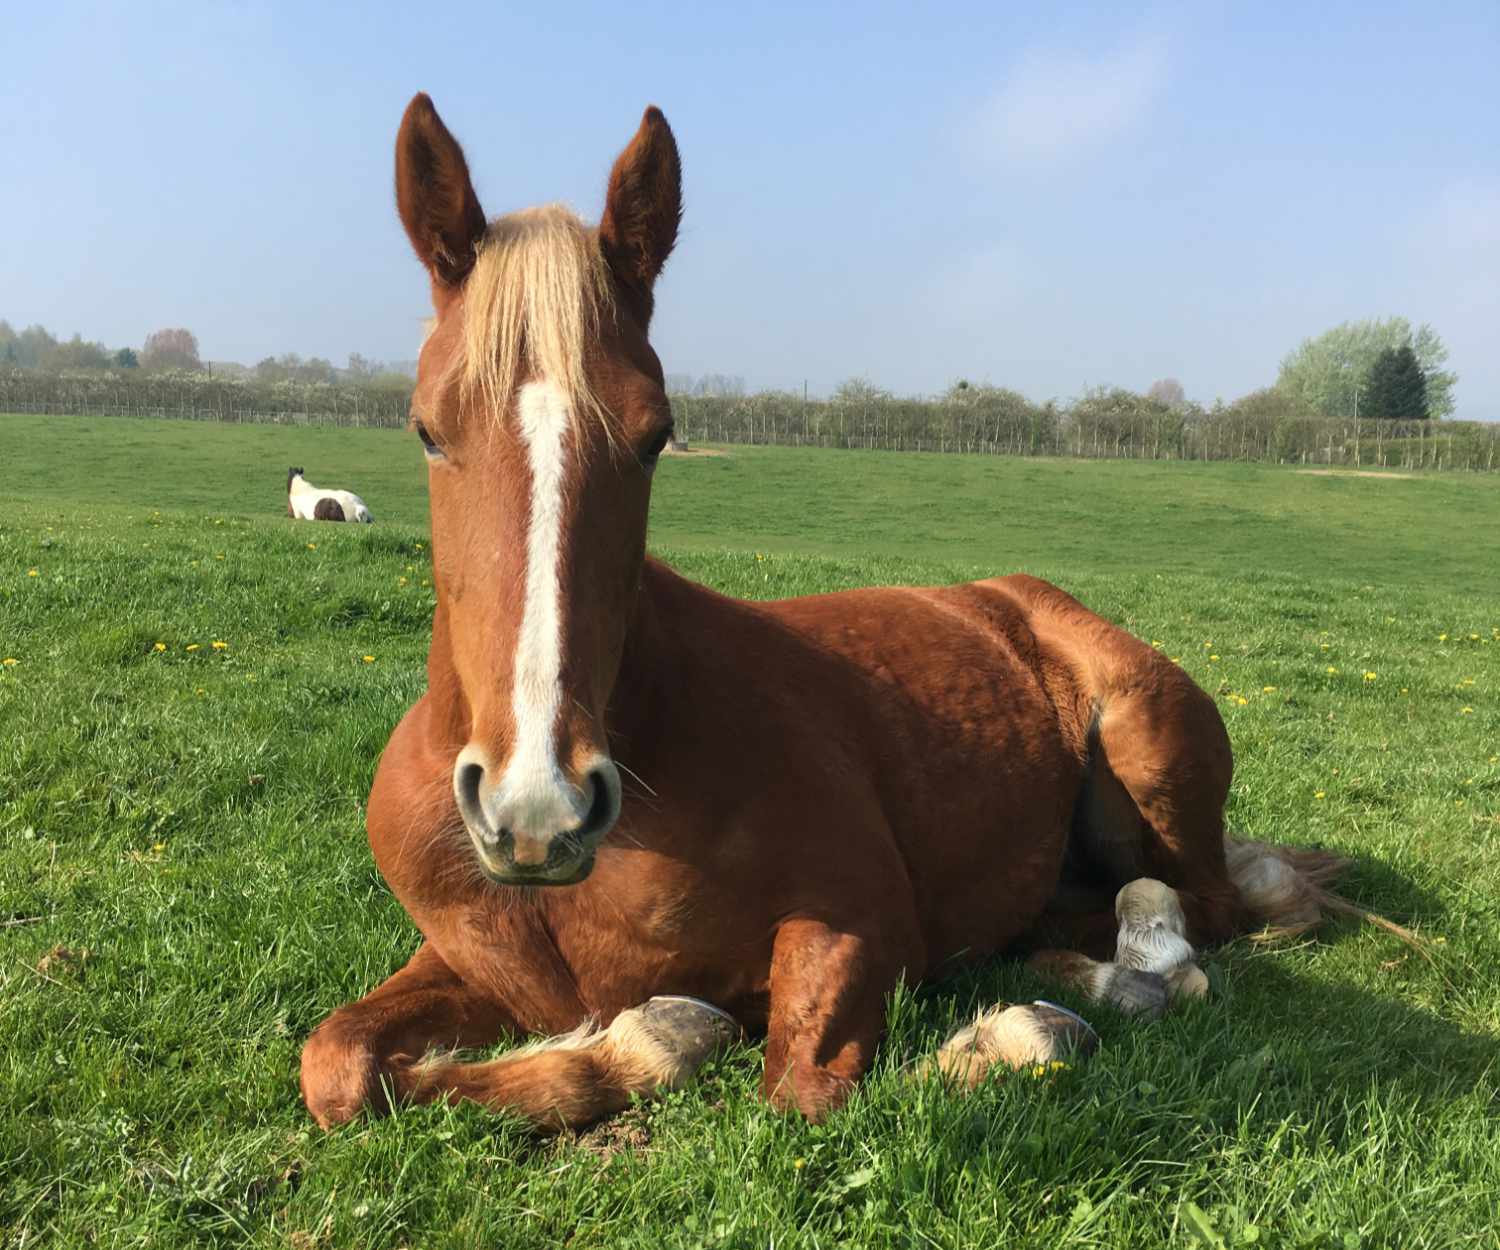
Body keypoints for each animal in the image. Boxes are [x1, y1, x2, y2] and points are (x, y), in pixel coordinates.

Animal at [299, 94, 1370, 1133]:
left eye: (656, 435)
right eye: (427, 429)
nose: (537, 808)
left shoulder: (863, 918)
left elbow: (807, 1090)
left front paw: (1003, 1035)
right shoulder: (474, 967)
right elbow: (340, 1066)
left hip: (1149, 757)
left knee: (1193, 915)